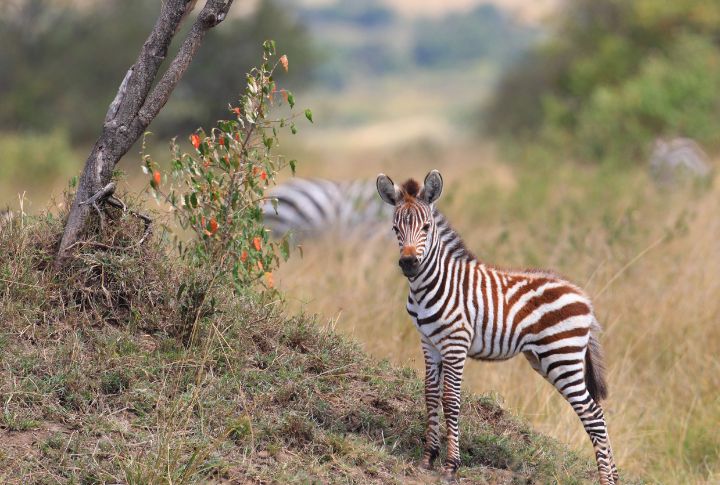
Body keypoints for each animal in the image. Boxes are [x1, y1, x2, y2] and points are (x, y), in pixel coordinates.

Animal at [376, 170, 620, 484]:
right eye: (395, 228)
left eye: (427, 227)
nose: (408, 263)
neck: (430, 284)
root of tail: (584, 298)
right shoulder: (429, 343)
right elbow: (430, 396)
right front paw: (428, 459)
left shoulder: (456, 344)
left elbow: (450, 400)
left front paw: (451, 465)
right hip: (546, 360)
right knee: (596, 410)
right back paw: (615, 476)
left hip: (562, 356)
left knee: (593, 415)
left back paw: (606, 480)